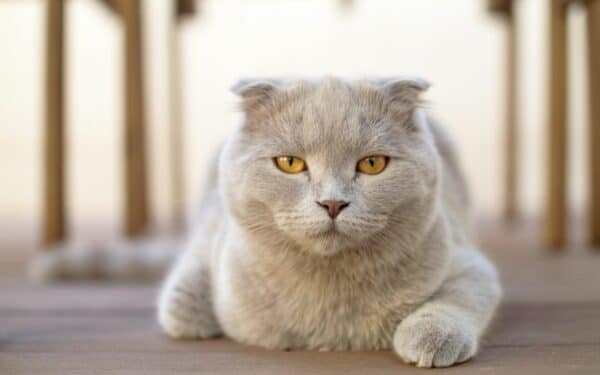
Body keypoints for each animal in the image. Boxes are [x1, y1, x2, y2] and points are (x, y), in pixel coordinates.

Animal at [32, 77, 502, 370]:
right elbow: (183, 305)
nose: (333, 203)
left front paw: (430, 339)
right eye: (290, 163)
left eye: (372, 164)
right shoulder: (208, 254)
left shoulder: (467, 260)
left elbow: (458, 297)